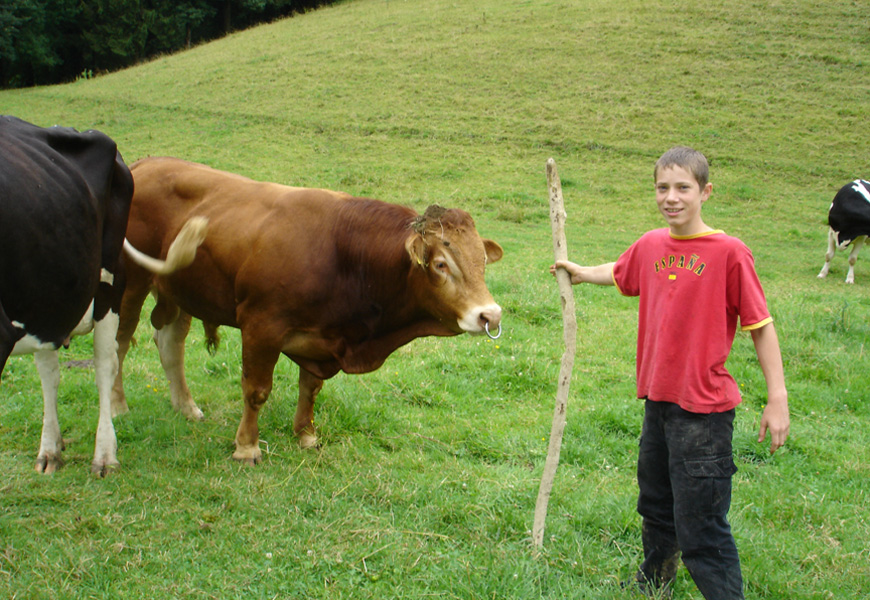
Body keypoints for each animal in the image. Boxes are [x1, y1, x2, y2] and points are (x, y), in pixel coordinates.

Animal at [0, 115, 206, 475]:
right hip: (48, 301)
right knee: (50, 372)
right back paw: (50, 450)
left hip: (109, 287)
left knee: (106, 363)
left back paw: (105, 454)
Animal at [112, 157, 504, 465]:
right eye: (440, 264)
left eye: (483, 261)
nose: (491, 315)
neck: (342, 253)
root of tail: (146, 163)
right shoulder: (260, 325)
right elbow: (256, 390)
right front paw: (246, 447)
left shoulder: (322, 337)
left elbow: (311, 387)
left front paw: (306, 435)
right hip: (129, 282)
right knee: (120, 344)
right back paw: (118, 407)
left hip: (180, 292)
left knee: (169, 343)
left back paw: (186, 407)